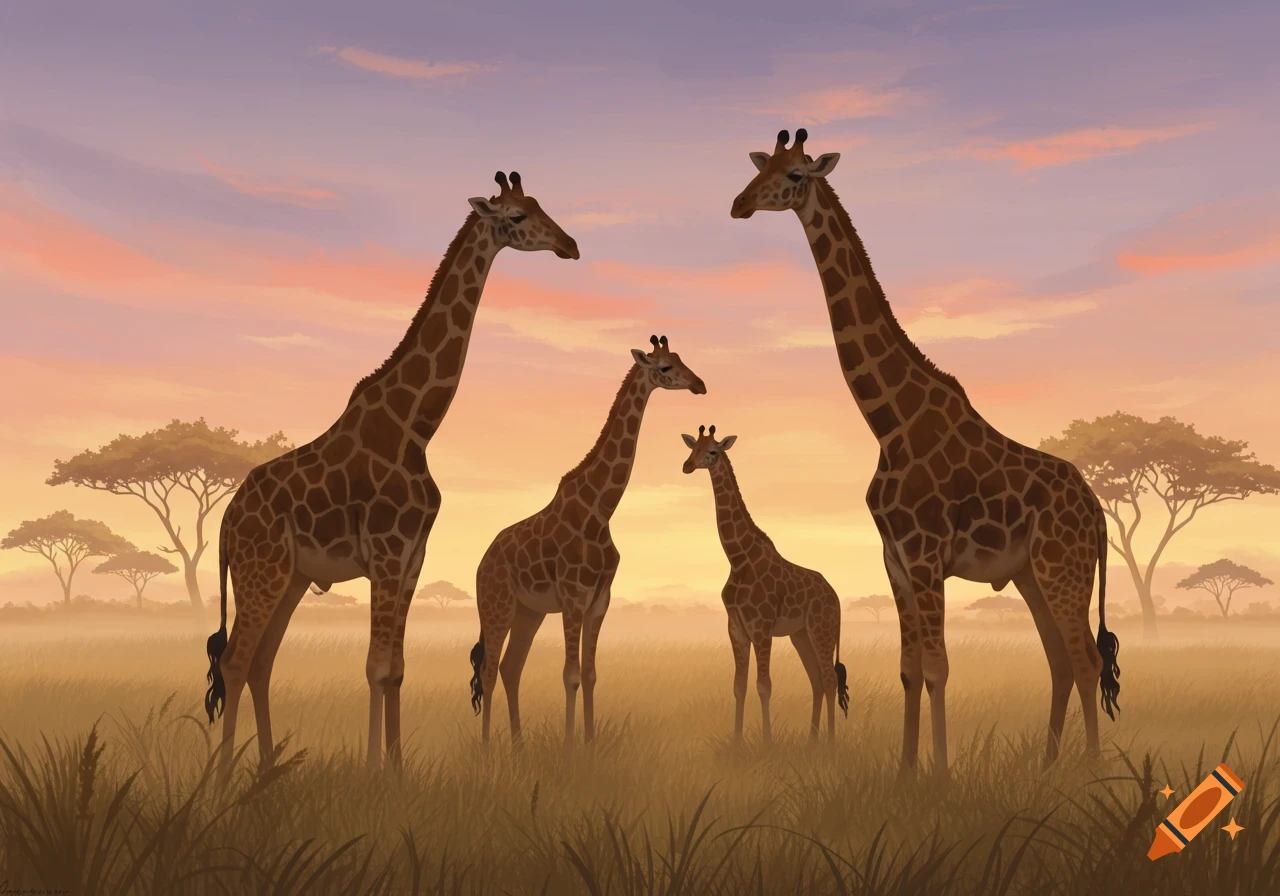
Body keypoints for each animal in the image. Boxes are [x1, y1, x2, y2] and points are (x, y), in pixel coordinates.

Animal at [203, 171, 579, 775]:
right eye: (517, 216)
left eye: (541, 204)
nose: (570, 245)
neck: (416, 426)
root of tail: (226, 522)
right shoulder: (385, 550)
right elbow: (375, 666)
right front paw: (372, 770)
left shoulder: (411, 558)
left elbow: (396, 669)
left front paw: (398, 773)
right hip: (261, 571)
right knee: (236, 661)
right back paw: (221, 779)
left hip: (290, 577)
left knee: (261, 662)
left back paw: (266, 769)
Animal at [469, 335, 706, 753]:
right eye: (664, 367)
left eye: (680, 359)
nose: (700, 384)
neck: (600, 511)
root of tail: (483, 563)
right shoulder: (573, 598)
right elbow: (571, 675)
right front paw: (567, 749)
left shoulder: (599, 601)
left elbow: (592, 674)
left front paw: (591, 746)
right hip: (496, 606)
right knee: (490, 668)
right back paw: (486, 748)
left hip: (528, 612)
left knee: (512, 668)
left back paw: (519, 746)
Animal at [681, 425, 849, 744]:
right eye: (692, 447)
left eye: (713, 451)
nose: (687, 466)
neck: (738, 559)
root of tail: (835, 596)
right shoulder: (736, 627)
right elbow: (739, 686)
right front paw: (737, 741)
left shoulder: (761, 627)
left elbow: (764, 685)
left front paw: (767, 742)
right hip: (800, 635)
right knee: (816, 680)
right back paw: (812, 741)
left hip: (821, 630)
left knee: (830, 678)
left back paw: (832, 742)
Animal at [730, 129, 1121, 778]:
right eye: (763, 167)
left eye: (796, 176)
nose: (739, 205)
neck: (888, 423)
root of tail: (1096, 511)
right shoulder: (895, 559)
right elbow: (910, 670)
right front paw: (907, 771)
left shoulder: (925, 552)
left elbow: (937, 667)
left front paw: (939, 774)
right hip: (1031, 574)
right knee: (1061, 661)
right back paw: (1046, 768)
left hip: (1063, 567)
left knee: (1086, 659)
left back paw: (1089, 773)